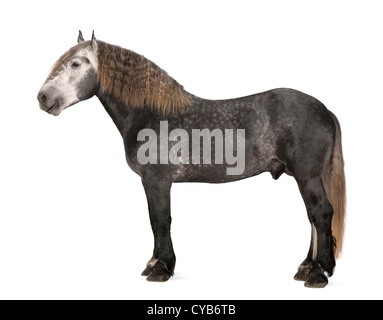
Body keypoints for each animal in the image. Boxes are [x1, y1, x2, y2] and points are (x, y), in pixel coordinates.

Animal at [37, 31, 346, 288]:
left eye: (76, 64)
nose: (43, 97)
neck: (151, 114)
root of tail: (325, 110)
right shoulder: (151, 184)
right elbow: (154, 220)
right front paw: (154, 263)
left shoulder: (157, 181)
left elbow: (161, 219)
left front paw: (161, 269)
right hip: (304, 177)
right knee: (312, 218)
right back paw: (306, 268)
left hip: (308, 176)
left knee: (321, 214)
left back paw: (319, 273)